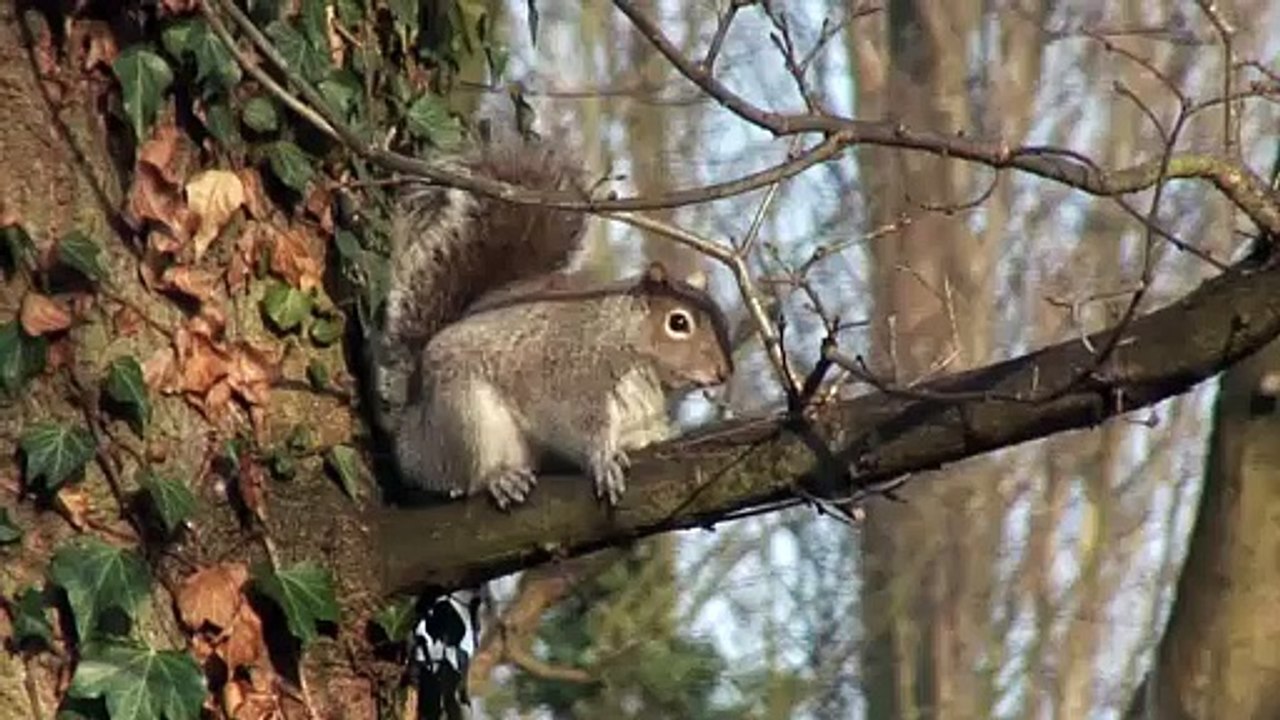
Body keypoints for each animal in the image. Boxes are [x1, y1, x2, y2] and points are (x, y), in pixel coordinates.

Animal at [371, 137, 734, 509]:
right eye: (678, 322)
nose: (723, 372)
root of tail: (410, 435)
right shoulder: (570, 380)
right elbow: (575, 428)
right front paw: (603, 460)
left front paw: (666, 437)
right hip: (463, 417)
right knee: (462, 477)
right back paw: (499, 479)